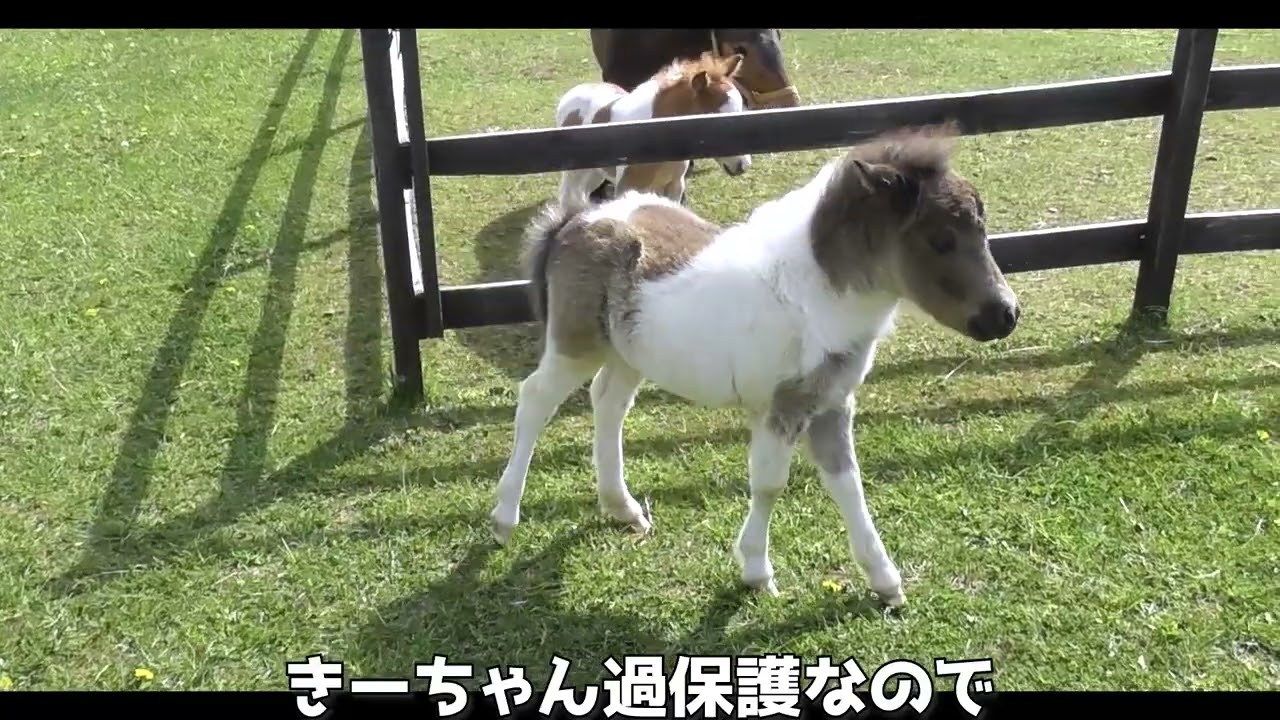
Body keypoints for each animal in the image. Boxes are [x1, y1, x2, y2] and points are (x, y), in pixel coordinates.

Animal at [488, 122, 1021, 607]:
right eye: (940, 239)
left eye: (981, 228)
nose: (1005, 314)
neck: (816, 295)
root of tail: (576, 219)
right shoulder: (781, 407)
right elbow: (769, 484)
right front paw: (757, 571)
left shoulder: (831, 404)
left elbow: (848, 484)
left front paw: (885, 581)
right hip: (575, 344)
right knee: (535, 399)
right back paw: (504, 517)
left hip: (628, 353)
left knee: (608, 402)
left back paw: (622, 508)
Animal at [555, 52, 752, 210]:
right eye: (716, 119)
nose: (743, 165)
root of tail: (575, 91)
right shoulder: (627, 187)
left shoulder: (674, 186)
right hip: (575, 172)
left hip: (595, 172)